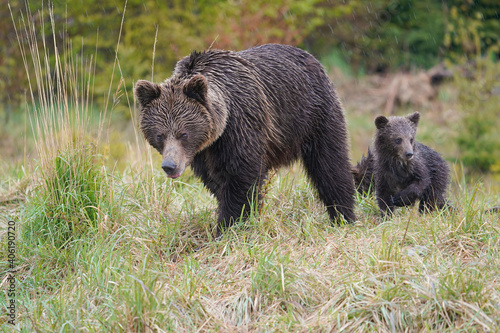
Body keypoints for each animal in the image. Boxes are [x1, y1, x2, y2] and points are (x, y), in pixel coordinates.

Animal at [135, 43, 358, 231]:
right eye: (160, 135)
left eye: (184, 134)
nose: (170, 166)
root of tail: (311, 57)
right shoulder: (203, 153)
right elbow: (216, 182)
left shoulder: (241, 126)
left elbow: (241, 179)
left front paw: (228, 227)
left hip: (313, 115)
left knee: (329, 164)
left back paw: (343, 216)